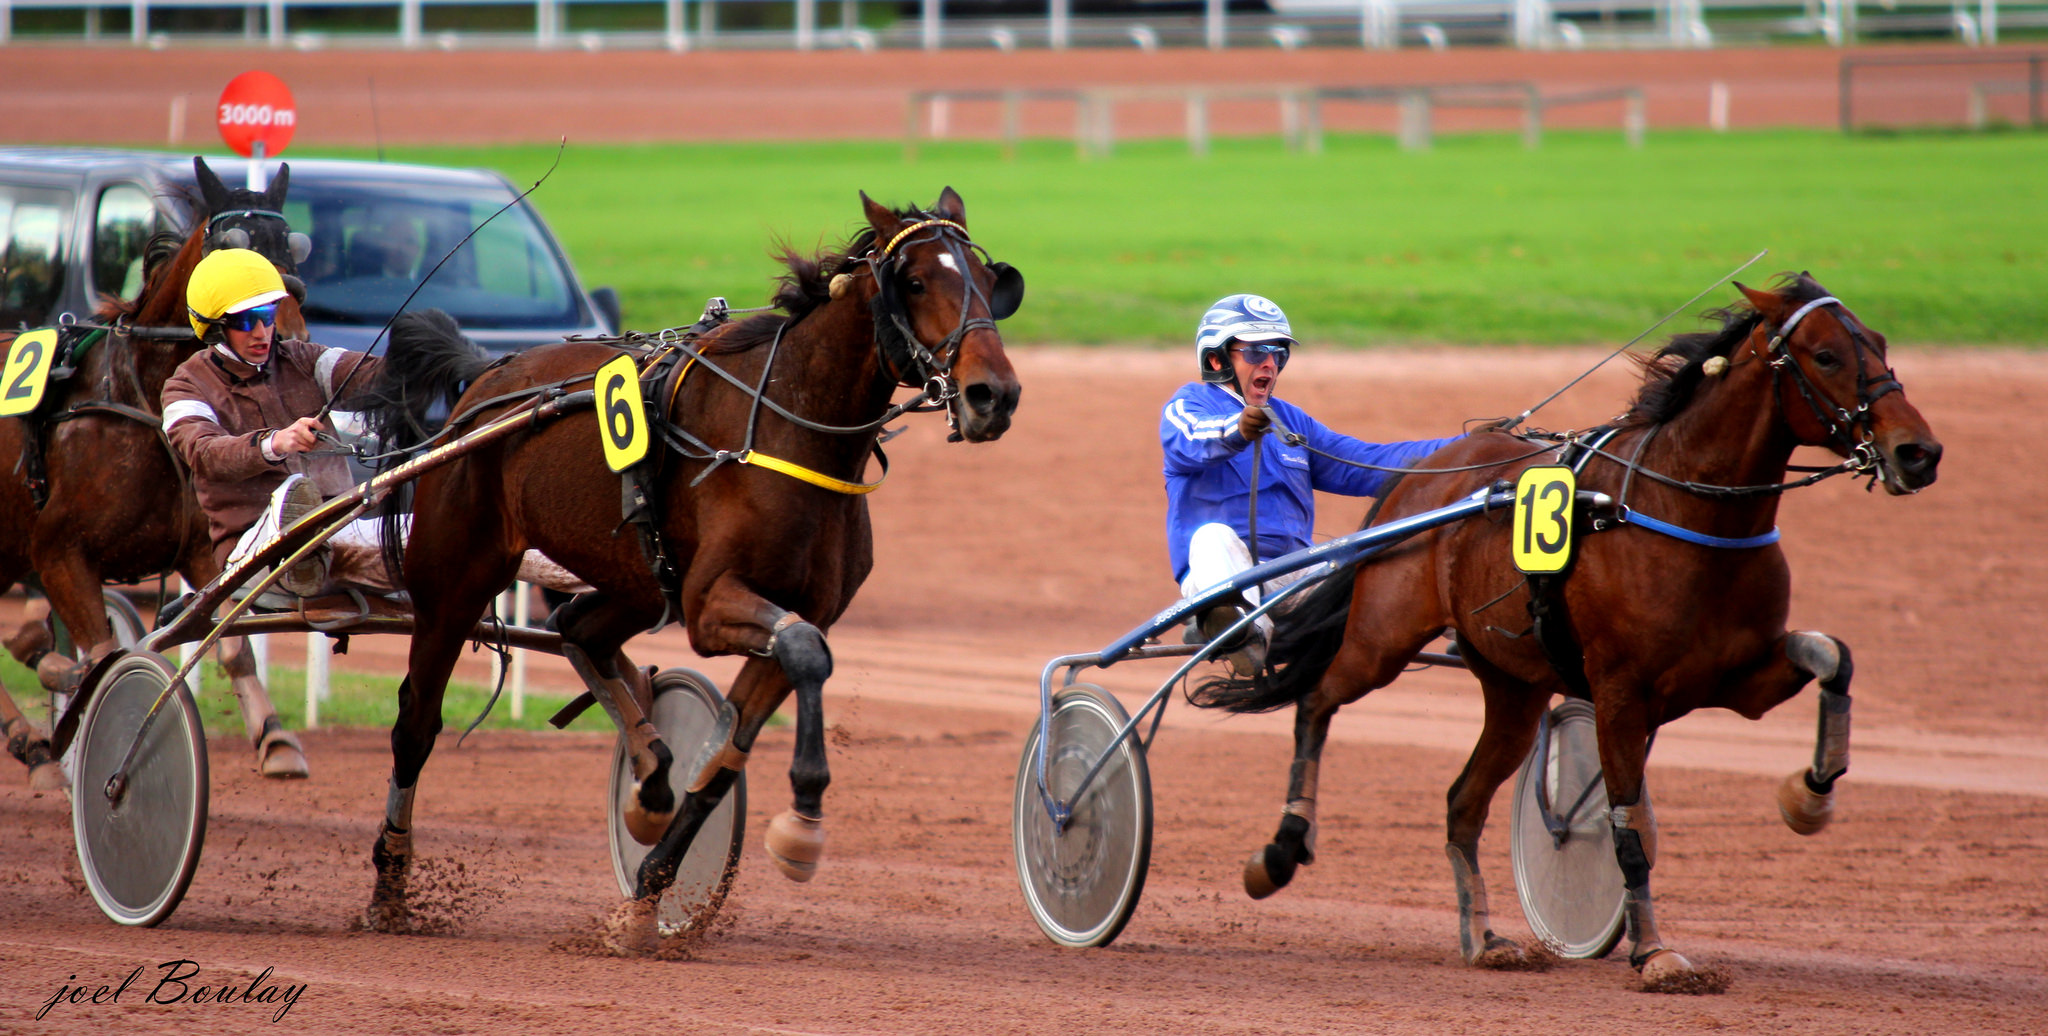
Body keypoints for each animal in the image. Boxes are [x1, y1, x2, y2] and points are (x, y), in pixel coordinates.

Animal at [0, 155, 311, 786]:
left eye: (292, 247)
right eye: (230, 249)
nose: (285, 334)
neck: (142, 398)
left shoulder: (199, 546)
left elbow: (231, 641)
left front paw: (275, 737)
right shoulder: (58, 552)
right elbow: (100, 659)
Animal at [354, 190, 1024, 950]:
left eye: (987, 278)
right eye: (913, 281)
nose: (993, 395)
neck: (791, 426)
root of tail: (488, 378)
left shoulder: (797, 608)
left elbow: (731, 745)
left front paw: (648, 899)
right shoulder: (710, 603)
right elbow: (803, 651)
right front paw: (803, 816)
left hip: (637, 581)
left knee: (579, 627)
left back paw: (649, 779)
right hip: (456, 576)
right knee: (417, 721)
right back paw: (390, 886)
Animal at [1187, 272, 1933, 986]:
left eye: (1882, 342)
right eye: (1827, 355)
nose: (1919, 452)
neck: (1682, 509)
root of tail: (1424, 476)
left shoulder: (1739, 679)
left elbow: (1833, 657)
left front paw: (1809, 797)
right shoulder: (1621, 692)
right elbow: (1629, 827)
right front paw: (1654, 953)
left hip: (1512, 689)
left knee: (1462, 802)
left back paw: (1483, 939)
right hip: (1381, 640)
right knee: (1316, 701)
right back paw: (1280, 849)